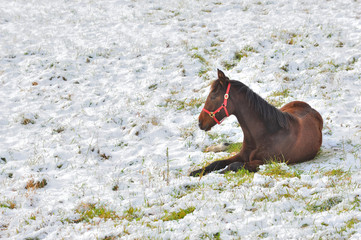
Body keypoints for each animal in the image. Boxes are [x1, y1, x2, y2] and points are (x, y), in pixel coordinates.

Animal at [190, 69, 322, 176]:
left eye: (213, 96)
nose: (200, 122)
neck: (266, 135)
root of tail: (310, 108)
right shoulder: (242, 155)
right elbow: (216, 163)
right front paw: (195, 172)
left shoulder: (267, 162)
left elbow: (233, 165)